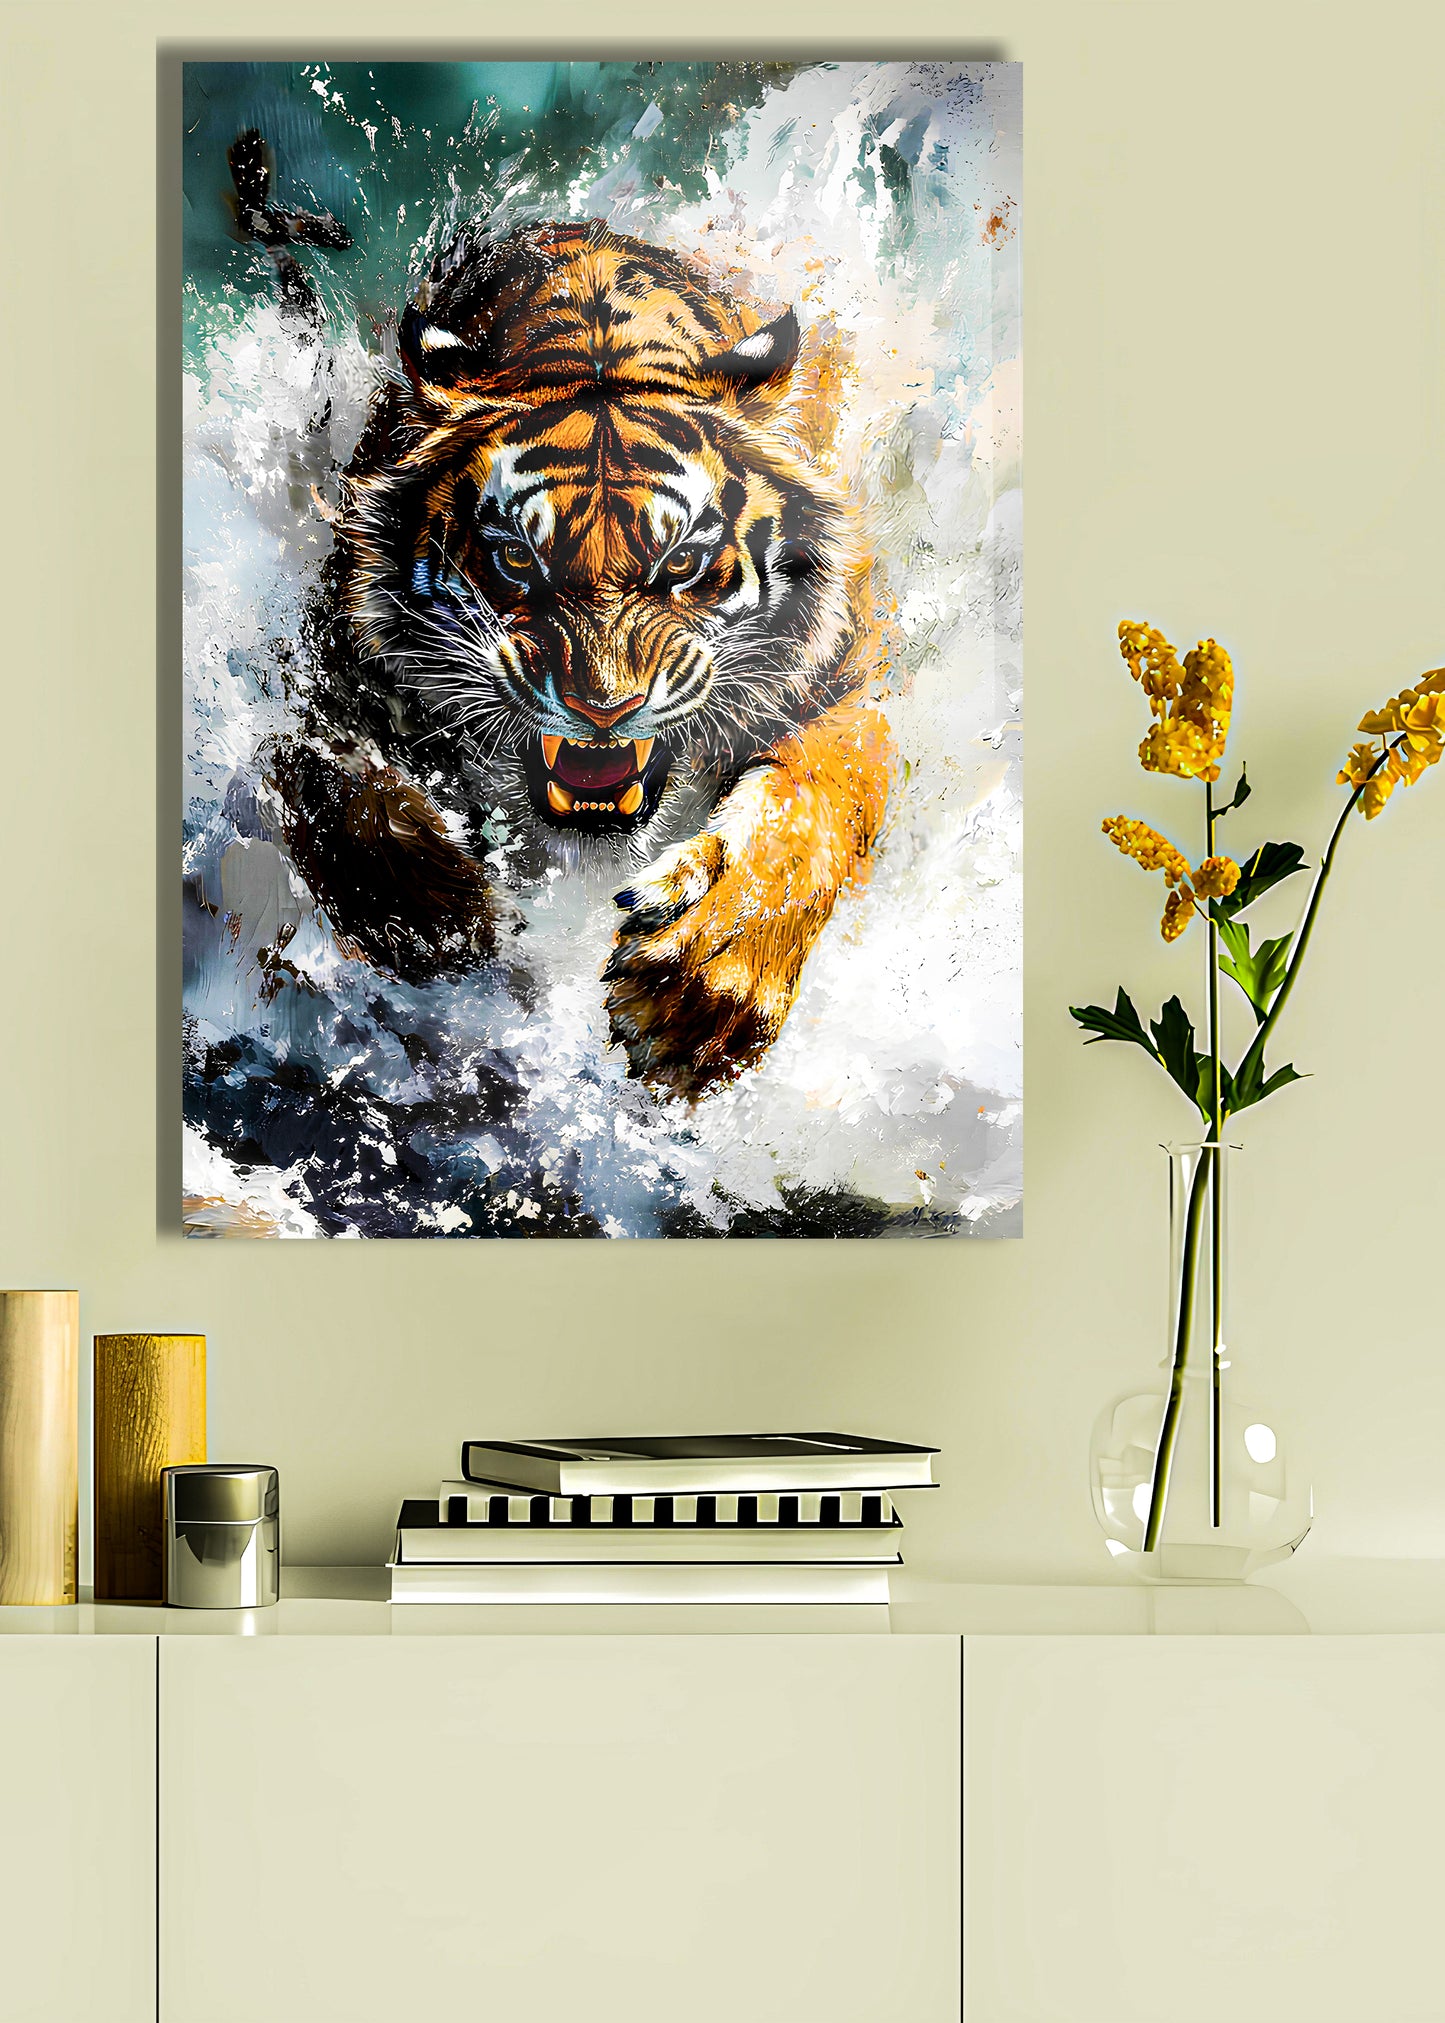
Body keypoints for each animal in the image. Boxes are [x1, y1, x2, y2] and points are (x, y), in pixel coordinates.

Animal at [267, 192, 892, 1097]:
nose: (603, 709)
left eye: (681, 562)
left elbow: (816, 807)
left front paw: (699, 992)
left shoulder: (843, 684)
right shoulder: (325, 665)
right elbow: (327, 778)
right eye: (516, 560)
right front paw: (436, 914)